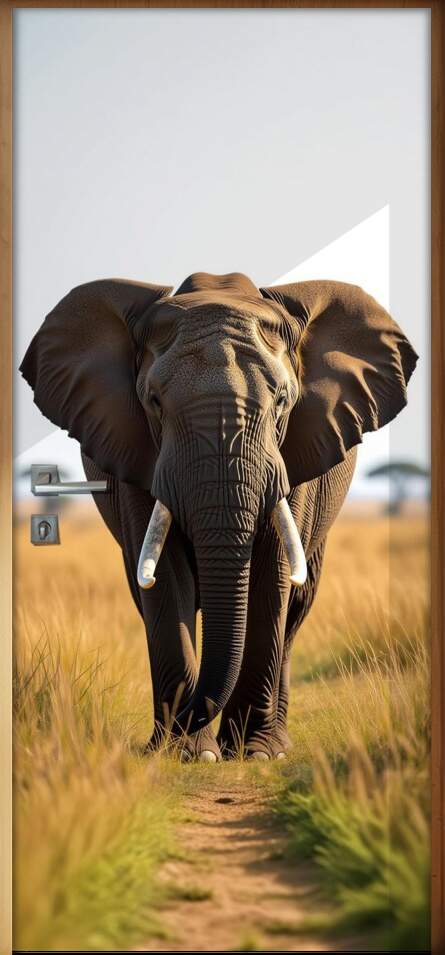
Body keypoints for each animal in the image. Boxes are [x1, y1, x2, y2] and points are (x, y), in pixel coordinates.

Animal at [21, 271, 417, 761]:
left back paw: (272, 742)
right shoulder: (136, 451)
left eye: (283, 401)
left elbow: (272, 574)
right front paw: (189, 754)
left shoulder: (296, 451)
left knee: (295, 611)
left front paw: (253, 754)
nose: (186, 716)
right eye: (153, 401)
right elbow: (165, 577)